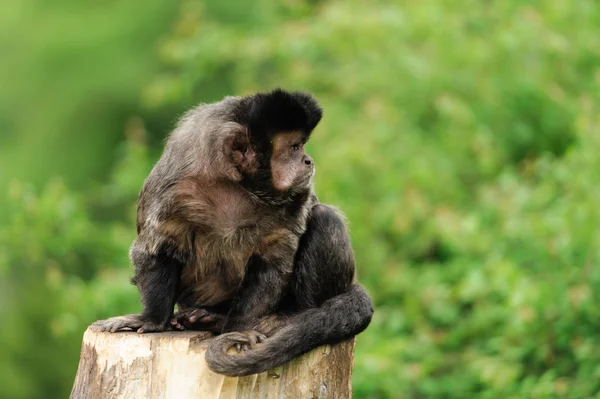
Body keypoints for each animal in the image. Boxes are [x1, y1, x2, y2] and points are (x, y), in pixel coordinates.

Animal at [92, 89, 376, 376]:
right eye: (295, 147)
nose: (308, 160)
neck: (234, 185)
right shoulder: (177, 186)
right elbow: (156, 247)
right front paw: (151, 319)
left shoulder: (296, 196)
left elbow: (272, 263)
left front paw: (238, 328)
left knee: (324, 217)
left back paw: (290, 315)